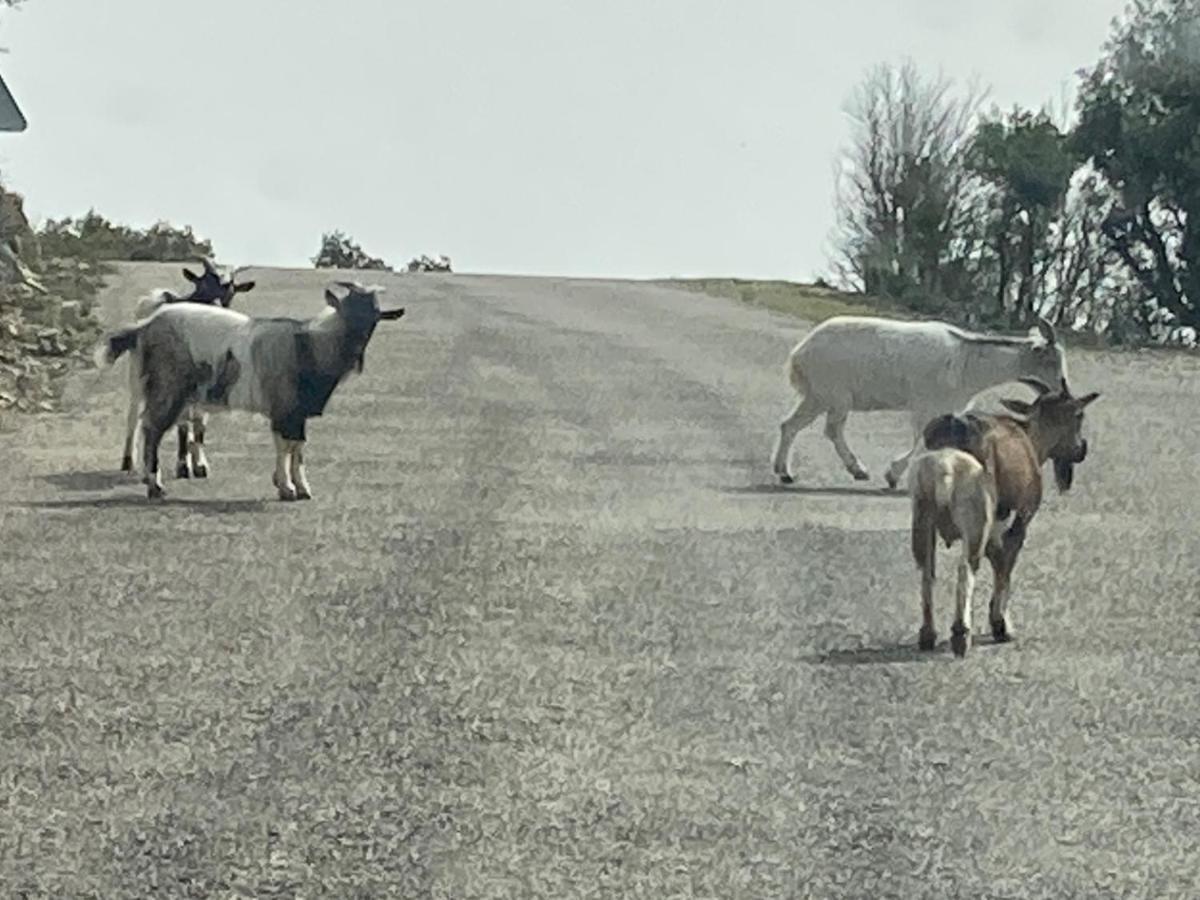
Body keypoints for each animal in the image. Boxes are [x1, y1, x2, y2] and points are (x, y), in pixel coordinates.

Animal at [93, 282, 403, 504]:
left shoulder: (295, 411)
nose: (357, 350)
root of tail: (145, 326)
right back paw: (155, 486)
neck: (310, 346)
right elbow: (286, 446)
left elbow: (296, 447)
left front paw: (295, 486)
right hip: (168, 388)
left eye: (375, 317)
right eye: (347, 311)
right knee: (152, 429)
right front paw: (289, 488)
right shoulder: (285, 407)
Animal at [120, 256, 256, 482]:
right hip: (138, 374)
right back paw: (129, 461)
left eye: (231, 291)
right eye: (202, 285)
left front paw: (200, 465)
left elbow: (200, 424)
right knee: (134, 414)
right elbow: (183, 425)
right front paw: (182, 466)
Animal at [768, 314, 1070, 489]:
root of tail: (800, 353)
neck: (967, 363)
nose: (1062, 389)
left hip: (817, 396)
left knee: (789, 425)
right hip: (835, 395)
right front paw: (892, 476)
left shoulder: (943, 409)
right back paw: (857, 469)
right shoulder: (926, 406)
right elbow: (921, 441)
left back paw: (784, 472)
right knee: (831, 429)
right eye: (1052, 360)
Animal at [912, 374, 1099, 657]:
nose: (1080, 450)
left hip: (923, 515)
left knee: (927, 569)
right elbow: (1005, 566)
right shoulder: (1016, 522)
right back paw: (961, 635)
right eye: (1079, 415)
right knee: (967, 566)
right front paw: (1002, 626)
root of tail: (948, 456)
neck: (1028, 438)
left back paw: (927, 635)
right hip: (976, 520)